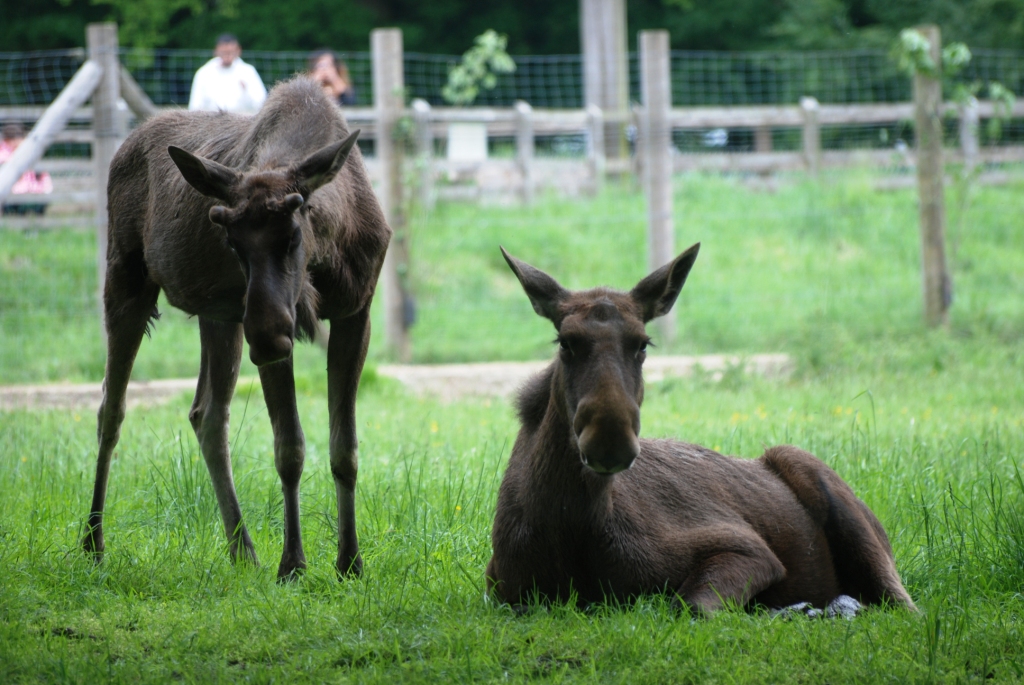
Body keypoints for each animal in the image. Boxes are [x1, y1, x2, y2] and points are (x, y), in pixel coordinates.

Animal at [82, 77, 391, 580]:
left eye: (294, 233)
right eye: (231, 241)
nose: (266, 340)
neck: (330, 250)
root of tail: (126, 143)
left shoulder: (354, 312)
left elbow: (344, 449)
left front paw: (350, 562)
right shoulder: (271, 330)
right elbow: (290, 449)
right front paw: (293, 564)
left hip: (220, 316)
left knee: (206, 414)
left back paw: (241, 548)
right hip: (128, 279)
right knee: (111, 408)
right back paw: (92, 542)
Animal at [486, 243, 916, 615]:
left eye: (643, 344)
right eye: (565, 342)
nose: (609, 441)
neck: (571, 526)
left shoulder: (749, 549)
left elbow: (688, 605)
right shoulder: (501, 591)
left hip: (826, 491)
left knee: (904, 605)